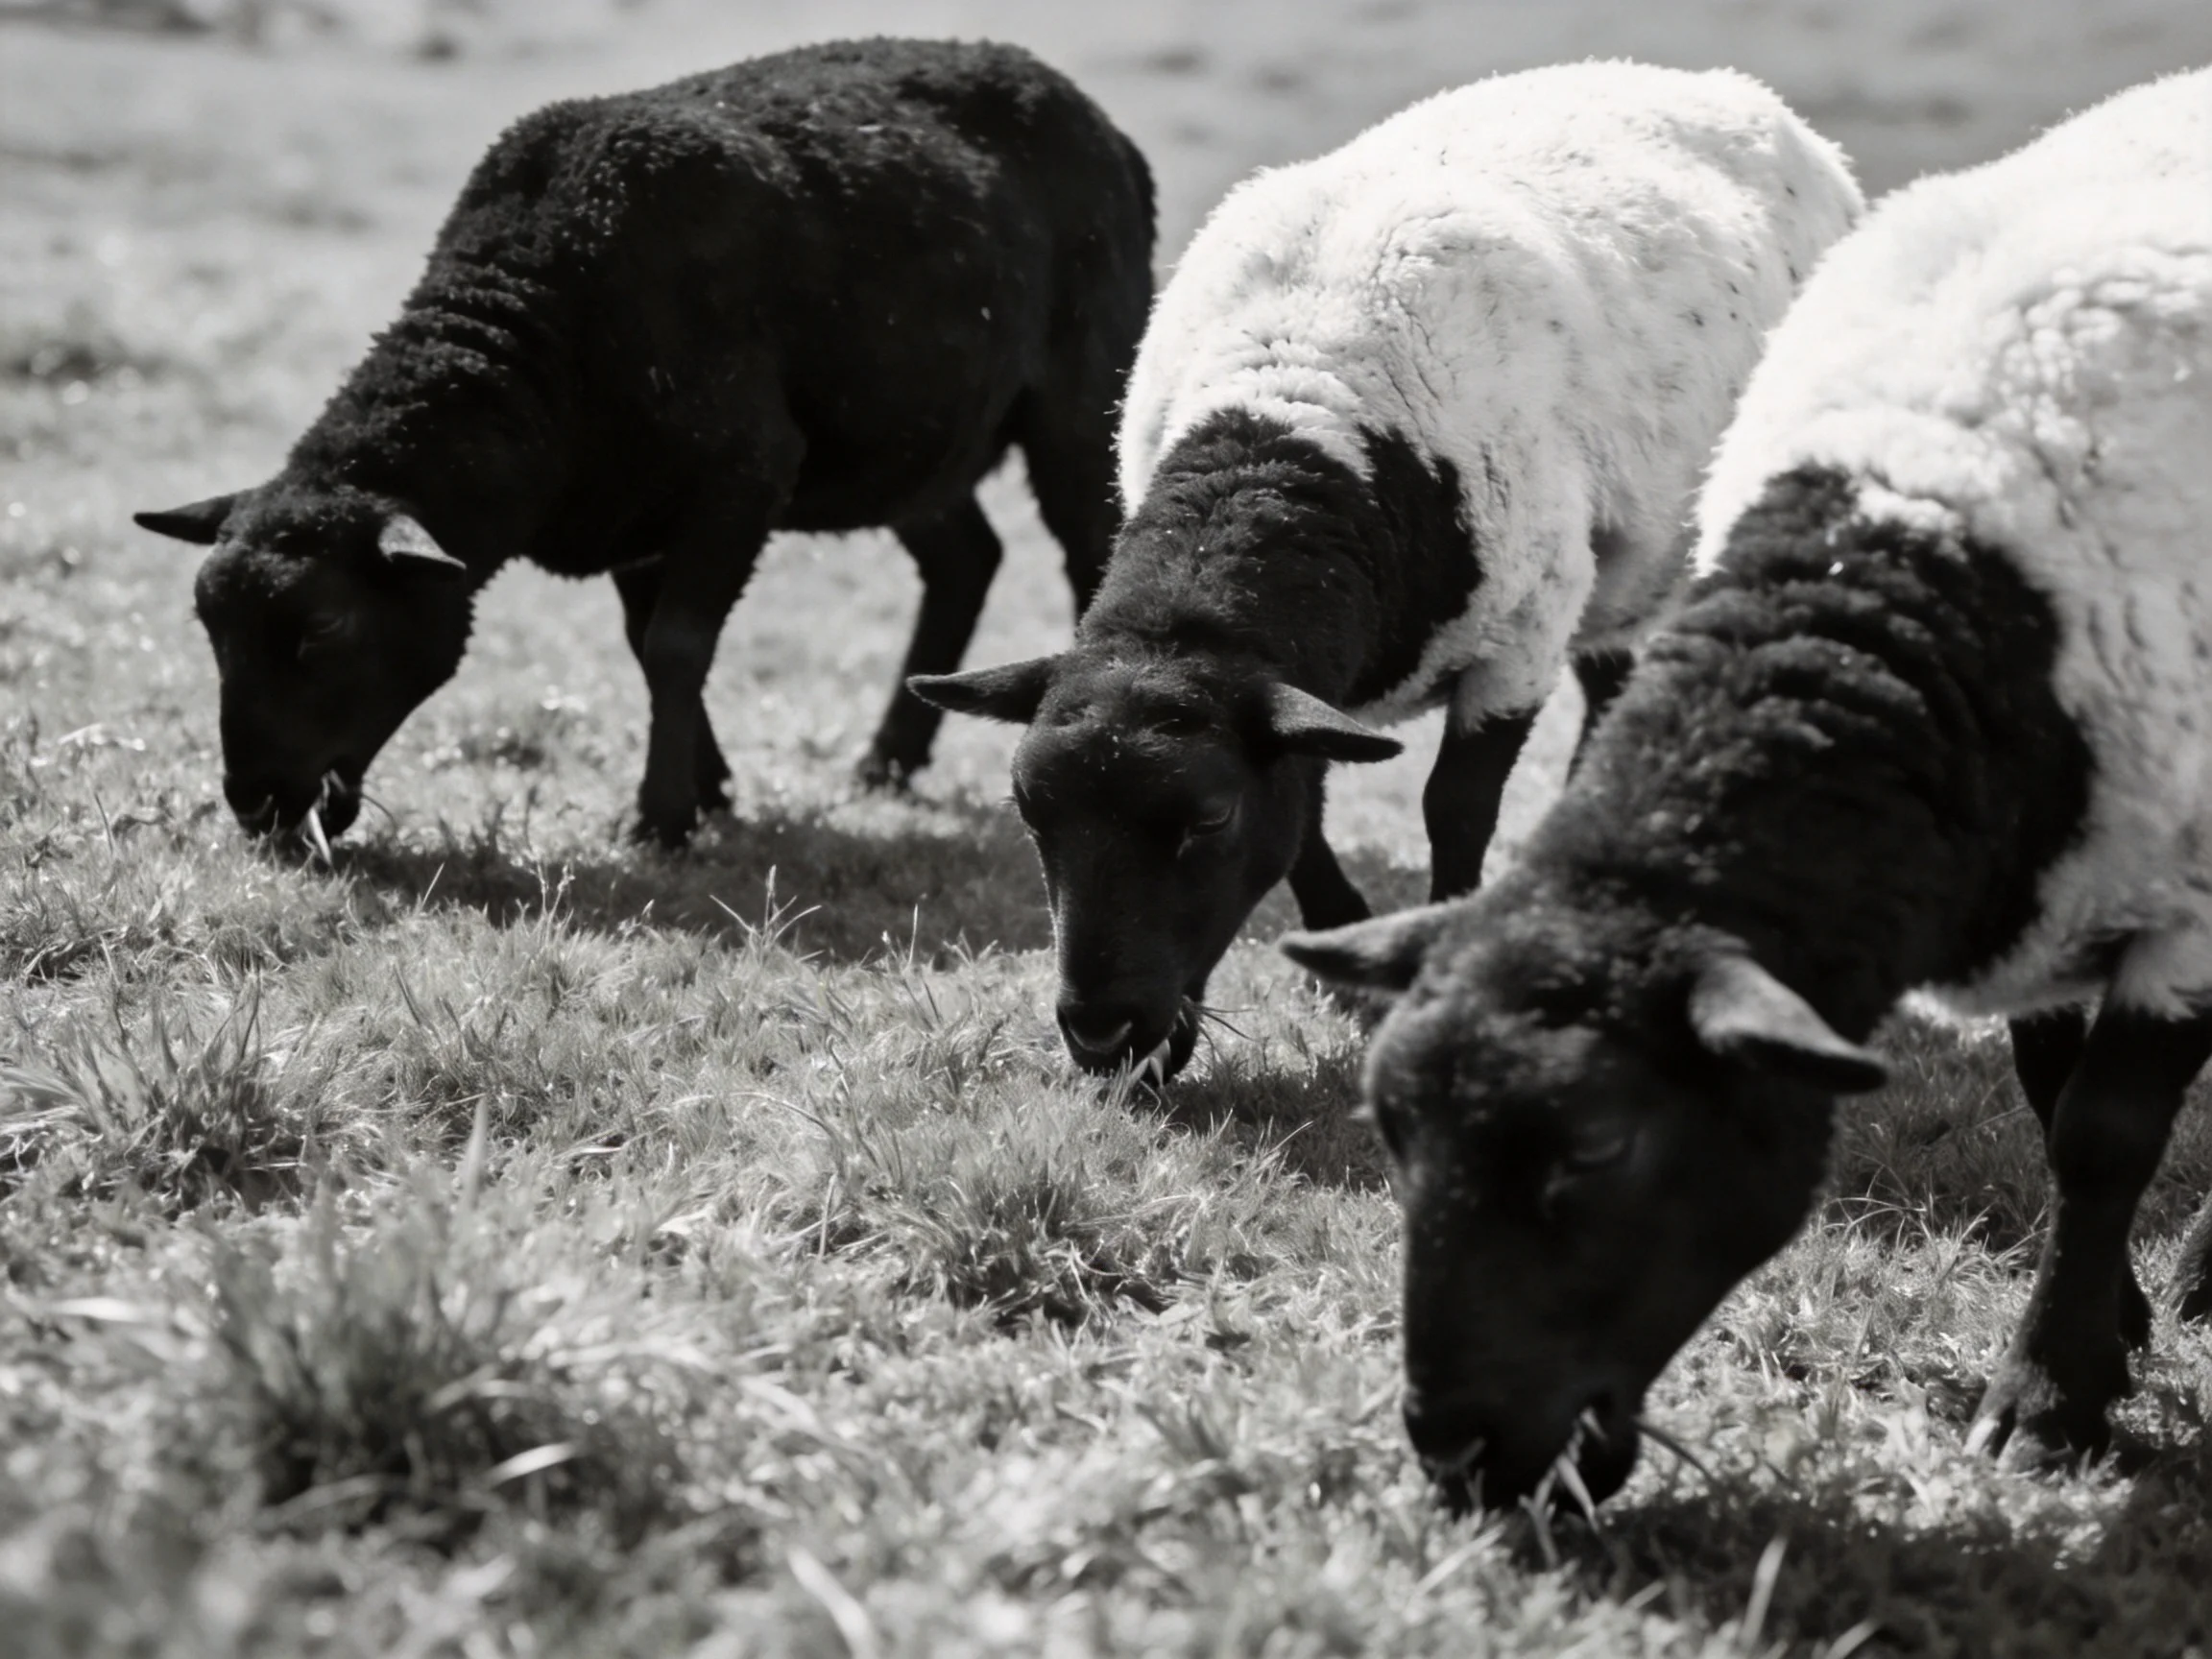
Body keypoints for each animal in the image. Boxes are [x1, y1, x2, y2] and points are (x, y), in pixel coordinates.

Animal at [135, 37, 1154, 851]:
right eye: (209, 627)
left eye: (324, 631)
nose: (256, 806)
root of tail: (1095, 118)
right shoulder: (634, 506)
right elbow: (644, 643)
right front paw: (711, 788)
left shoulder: (744, 474)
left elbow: (675, 646)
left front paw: (662, 818)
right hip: (912, 440)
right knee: (965, 560)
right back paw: (885, 763)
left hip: (1083, 391)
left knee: (1088, 552)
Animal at [913, 60, 1860, 1080]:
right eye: (1029, 813)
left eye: (1209, 819)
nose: (1101, 1036)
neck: (1291, 424)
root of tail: (1719, 85)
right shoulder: (1300, 691)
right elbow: (1305, 815)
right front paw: (1339, 938)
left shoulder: (1519, 638)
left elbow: (1456, 808)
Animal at [1282, 65, 2212, 1510]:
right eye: (1391, 1127)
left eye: (1600, 1149)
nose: (1460, 1457)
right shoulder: (2055, 876)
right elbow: (2054, 1091)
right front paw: (2113, 1321)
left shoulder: (2179, 900)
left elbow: (2101, 1135)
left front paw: (2048, 1397)